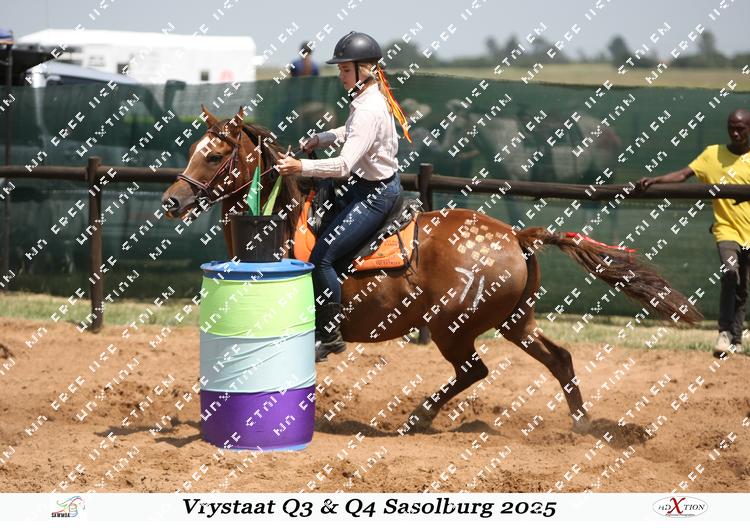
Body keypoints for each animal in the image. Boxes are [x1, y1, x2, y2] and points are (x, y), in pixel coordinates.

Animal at [161, 105, 703, 436]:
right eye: (191, 150)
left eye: (213, 154)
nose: (171, 201)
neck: (279, 221)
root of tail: (516, 236)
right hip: (515, 322)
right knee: (560, 359)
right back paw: (581, 426)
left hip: (451, 325)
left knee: (474, 369)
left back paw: (418, 417)